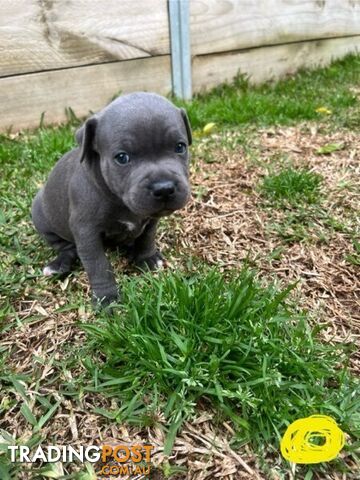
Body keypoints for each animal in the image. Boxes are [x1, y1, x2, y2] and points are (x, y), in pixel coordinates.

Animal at [31, 92, 191, 306]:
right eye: (122, 158)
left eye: (180, 147)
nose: (164, 188)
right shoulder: (87, 233)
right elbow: (98, 265)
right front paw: (106, 298)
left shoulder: (151, 219)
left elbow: (147, 238)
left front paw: (147, 258)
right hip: (41, 217)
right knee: (67, 247)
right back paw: (59, 264)